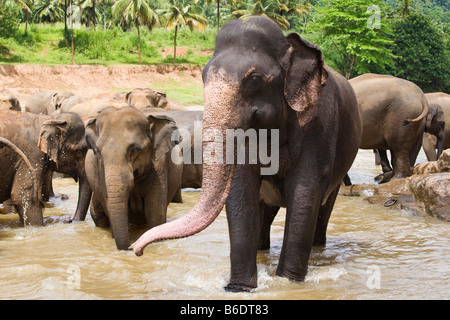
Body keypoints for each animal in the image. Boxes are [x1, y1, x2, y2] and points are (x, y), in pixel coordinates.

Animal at [84, 105, 183, 250]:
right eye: (98, 152)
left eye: (134, 149)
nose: (130, 247)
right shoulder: (101, 170)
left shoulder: (159, 166)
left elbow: (155, 212)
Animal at [130, 17, 362, 292]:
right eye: (202, 76)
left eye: (254, 79)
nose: (135, 250)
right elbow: (242, 187)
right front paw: (239, 289)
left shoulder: (319, 124)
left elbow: (304, 191)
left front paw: (288, 283)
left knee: (323, 210)